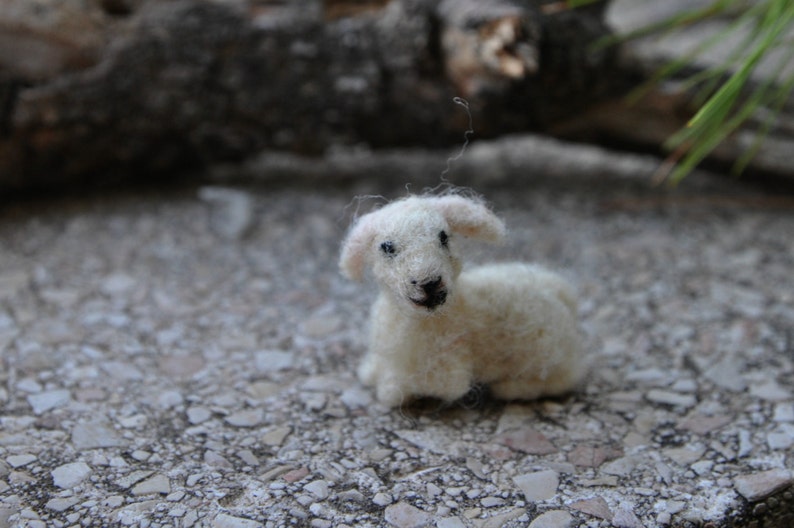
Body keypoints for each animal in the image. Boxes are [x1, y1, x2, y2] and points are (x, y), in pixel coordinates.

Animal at [338, 195, 584, 408]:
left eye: (443, 237)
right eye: (387, 247)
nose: (429, 282)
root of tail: (564, 298)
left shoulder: (445, 370)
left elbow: (417, 385)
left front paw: (389, 389)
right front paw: (370, 372)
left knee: (562, 378)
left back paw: (510, 388)